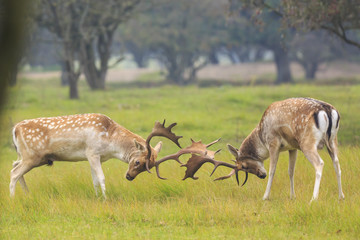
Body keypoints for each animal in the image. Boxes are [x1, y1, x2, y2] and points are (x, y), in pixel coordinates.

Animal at [10, 114, 184, 199]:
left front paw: (97, 197)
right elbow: (101, 177)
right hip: (32, 156)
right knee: (14, 173)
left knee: (14, 166)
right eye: (137, 161)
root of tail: (15, 129)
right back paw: (13, 200)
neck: (110, 140)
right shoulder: (92, 152)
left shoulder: (94, 157)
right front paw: (106, 199)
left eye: (147, 167)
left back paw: (27, 195)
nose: (129, 177)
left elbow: (94, 180)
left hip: (31, 157)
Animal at [184, 98, 344, 202]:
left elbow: (273, 170)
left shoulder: (273, 143)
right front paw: (292, 196)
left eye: (244, 166)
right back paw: (341, 196)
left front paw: (265, 196)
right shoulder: (293, 147)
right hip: (332, 141)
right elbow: (290, 171)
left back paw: (313, 199)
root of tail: (327, 111)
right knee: (337, 163)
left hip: (307, 142)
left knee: (320, 163)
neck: (261, 136)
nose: (261, 175)